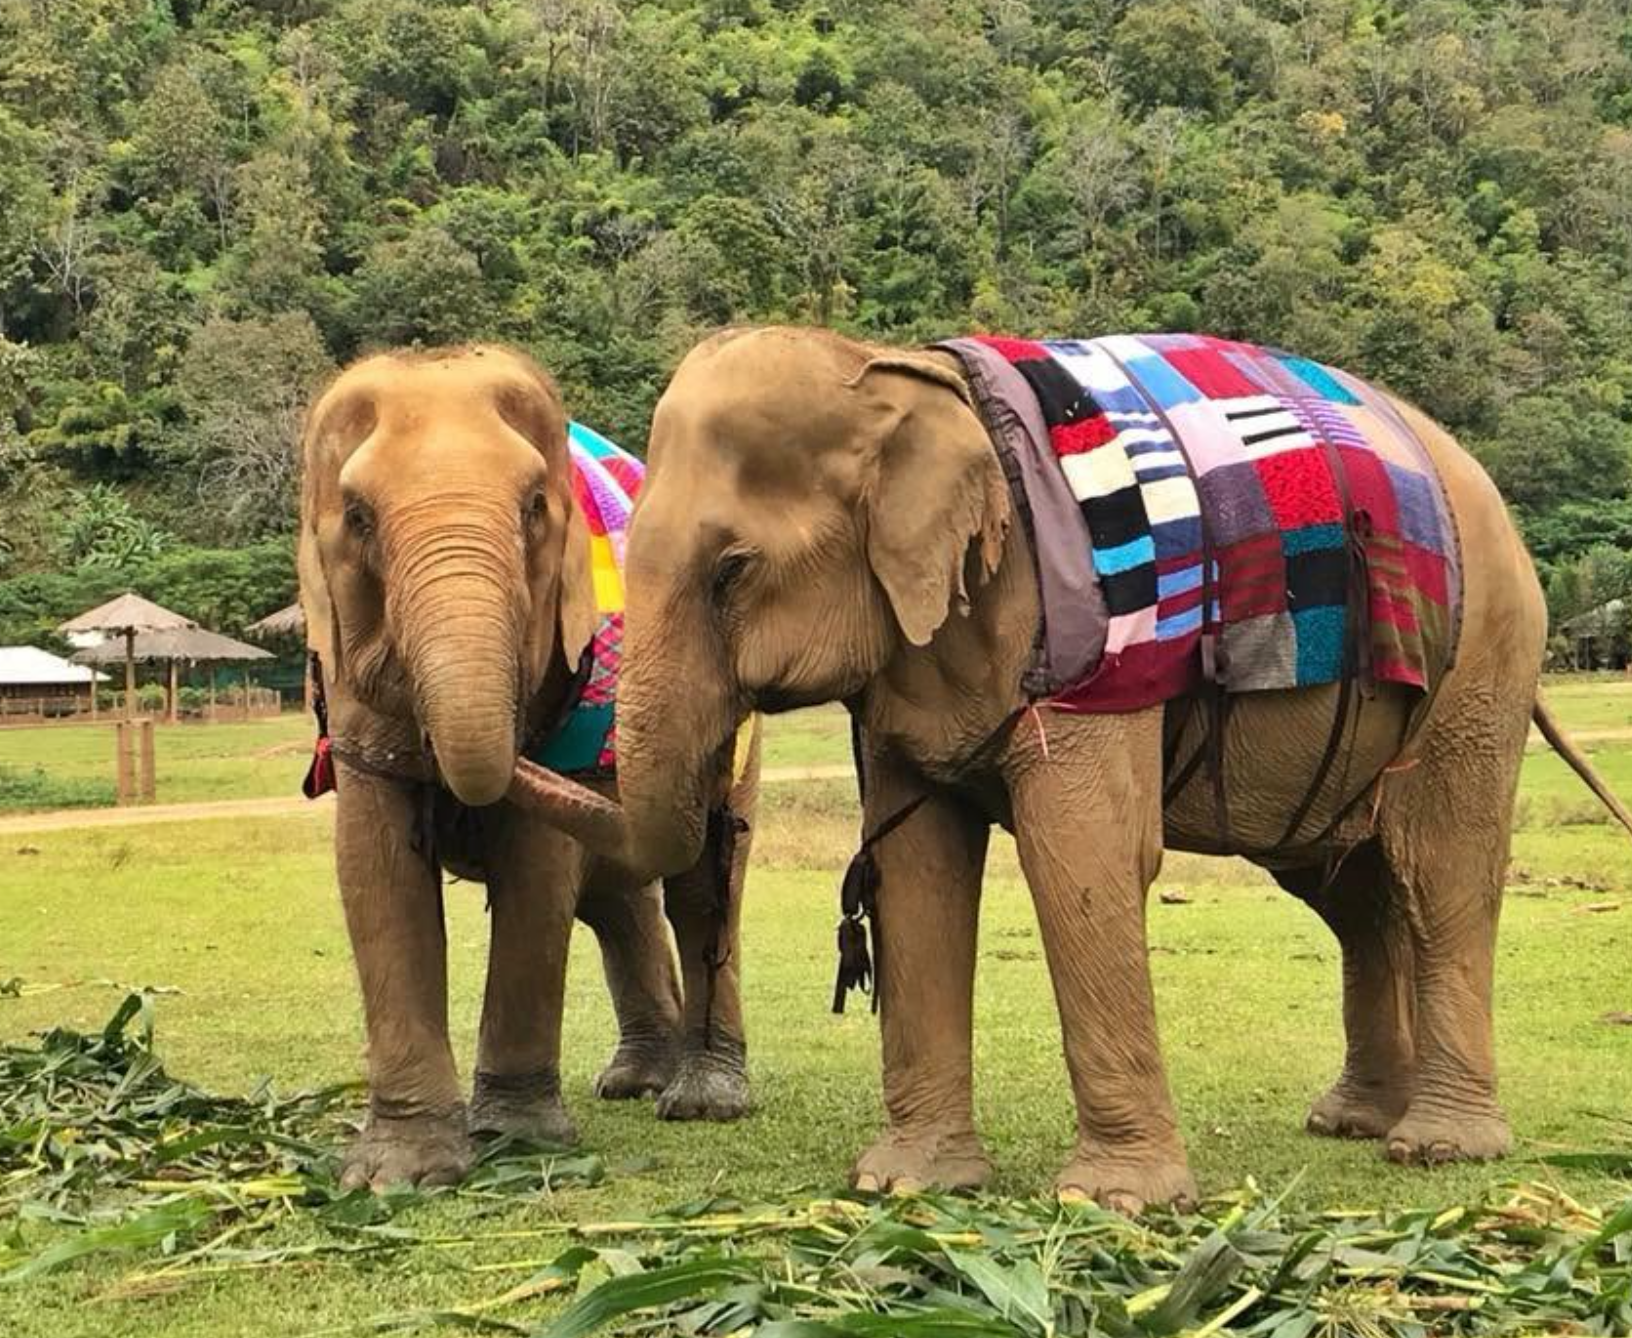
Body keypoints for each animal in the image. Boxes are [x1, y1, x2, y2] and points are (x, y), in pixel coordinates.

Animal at [297, 345, 757, 1192]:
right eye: (358, 518)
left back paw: (700, 1099)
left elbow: (537, 874)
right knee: (618, 897)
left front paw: (516, 1143)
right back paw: (637, 1081)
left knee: (703, 887)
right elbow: (374, 865)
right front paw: (397, 1178)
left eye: (534, 509)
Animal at [603, 324, 1632, 1210]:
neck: (901, 373)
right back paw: (1352, 1121)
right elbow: (918, 872)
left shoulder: (1094, 653)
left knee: (1443, 871)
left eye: (731, 571)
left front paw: (1113, 1204)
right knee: (1351, 890)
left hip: (1480, 666)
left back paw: (1438, 1147)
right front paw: (903, 1187)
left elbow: (1080, 858)